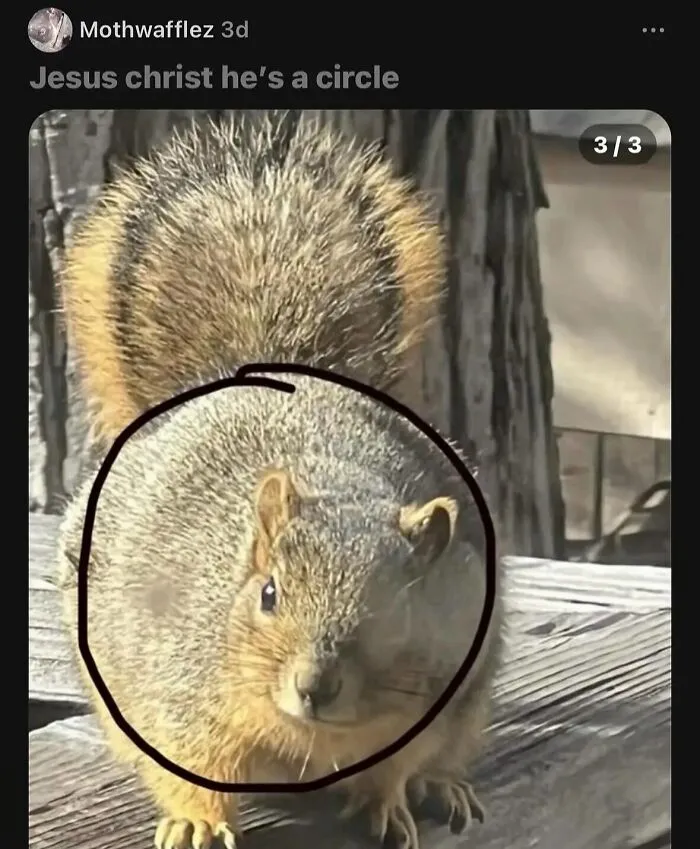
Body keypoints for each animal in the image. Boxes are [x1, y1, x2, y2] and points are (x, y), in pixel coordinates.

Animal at [56, 112, 503, 849]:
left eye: (402, 610)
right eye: (268, 594)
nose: (315, 685)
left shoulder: (439, 691)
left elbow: (396, 765)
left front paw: (389, 802)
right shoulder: (180, 683)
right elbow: (190, 762)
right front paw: (197, 821)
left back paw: (445, 785)